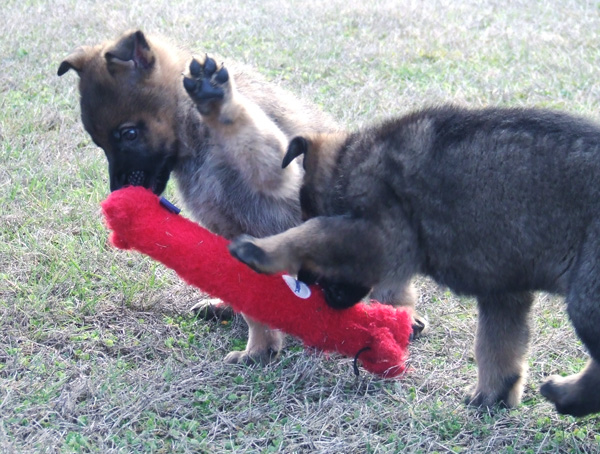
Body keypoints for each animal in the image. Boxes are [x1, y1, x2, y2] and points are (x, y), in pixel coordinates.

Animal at [56, 30, 422, 366]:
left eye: (129, 134)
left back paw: (400, 319)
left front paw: (218, 102)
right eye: (99, 143)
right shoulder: (231, 233)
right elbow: (248, 298)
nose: (116, 193)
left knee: (395, 288)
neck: (192, 130)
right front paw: (261, 347)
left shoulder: (281, 175)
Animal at [231, 104, 600, 416]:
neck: (348, 169)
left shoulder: (379, 238)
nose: (305, 283)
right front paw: (492, 396)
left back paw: (568, 396)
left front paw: (258, 249)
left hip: (586, 299)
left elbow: (315, 231)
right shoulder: (504, 293)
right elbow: (497, 346)